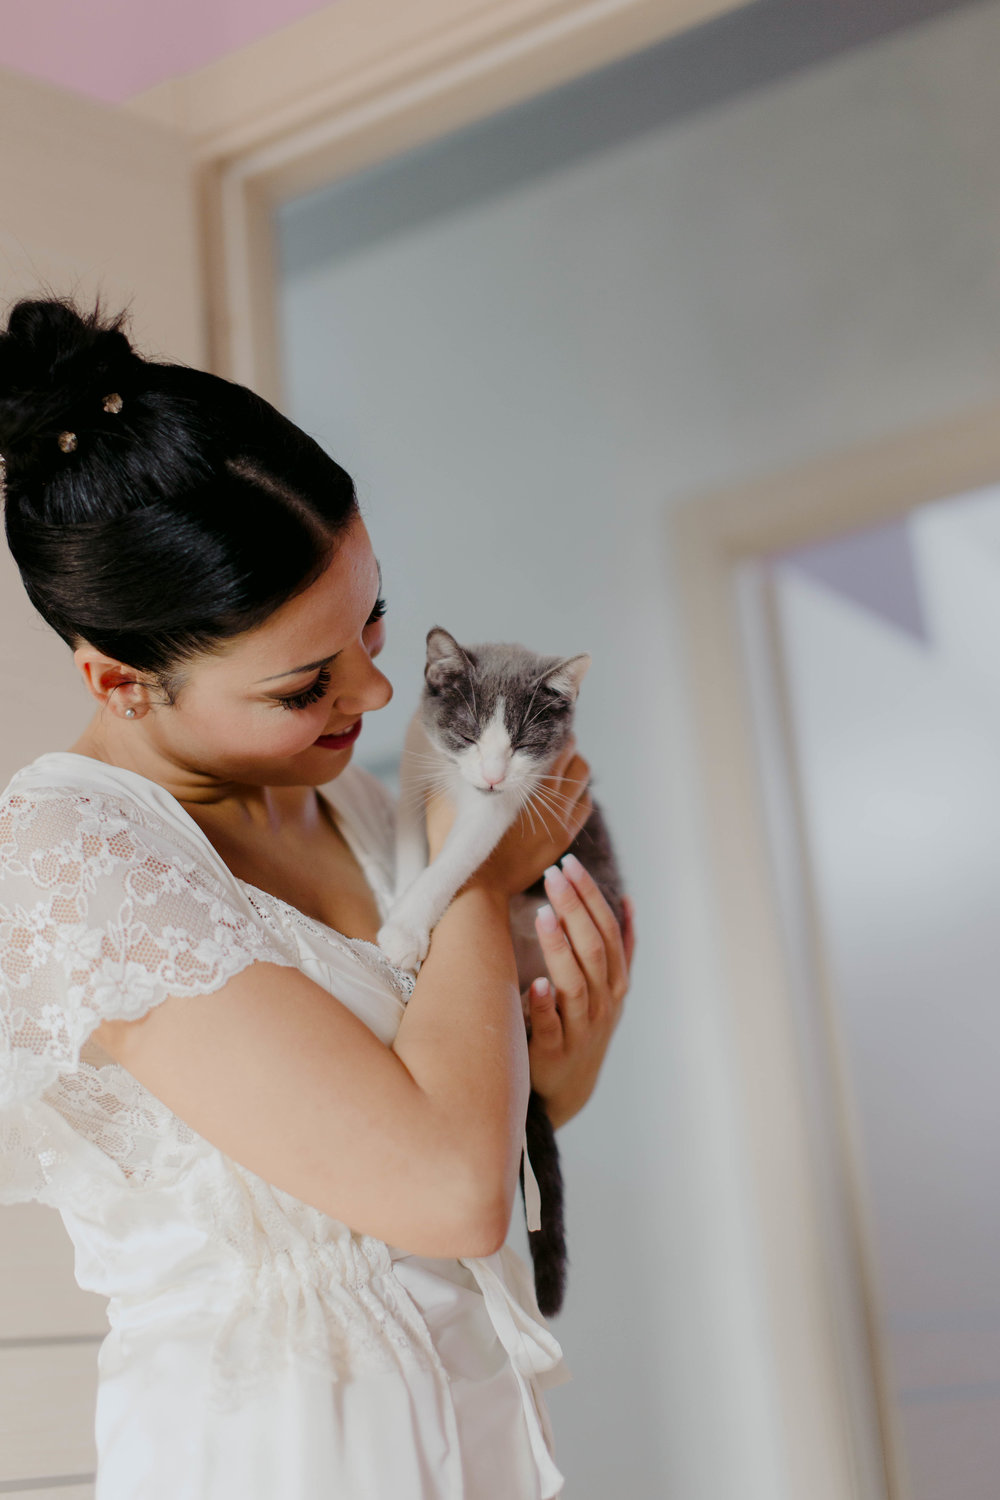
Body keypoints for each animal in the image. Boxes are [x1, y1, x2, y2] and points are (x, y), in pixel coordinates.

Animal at [377, 624, 626, 1314]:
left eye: (520, 744)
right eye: (466, 734)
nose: (489, 776)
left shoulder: (505, 806)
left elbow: (454, 860)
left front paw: (407, 928)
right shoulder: (416, 760)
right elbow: (412, 844)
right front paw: (399, 902)